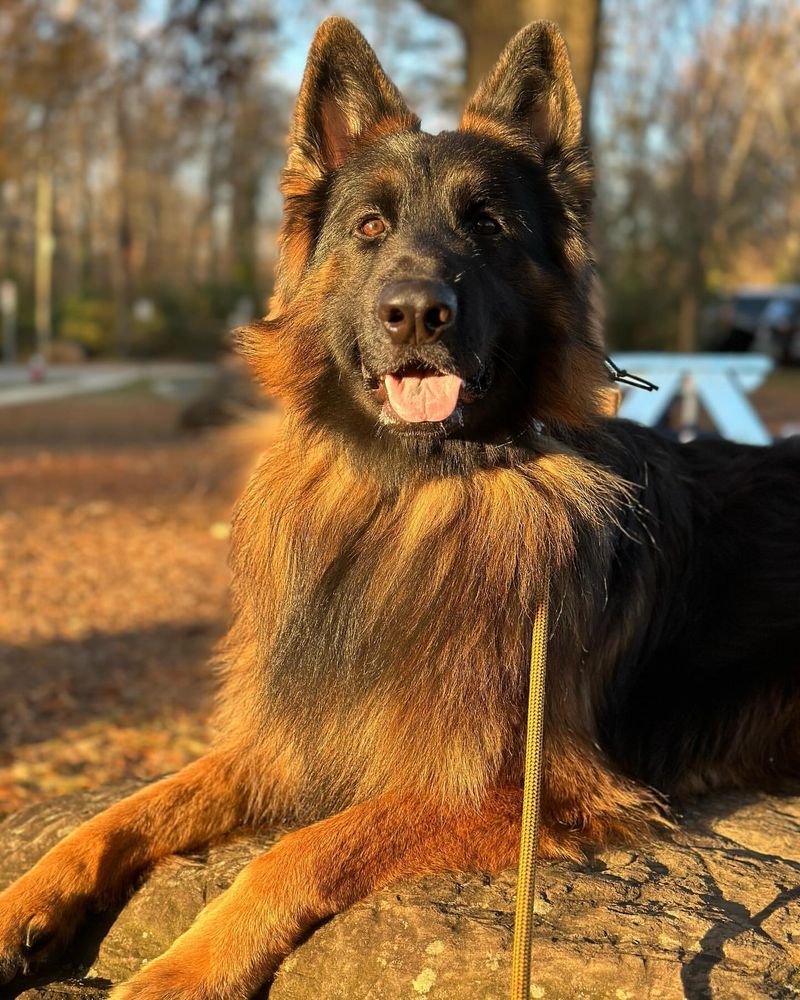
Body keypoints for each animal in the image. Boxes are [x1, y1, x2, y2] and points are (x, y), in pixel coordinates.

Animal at [1, 15, 800, 1000]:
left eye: (487, 227)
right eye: (371, 226)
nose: (417, 312)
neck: (409, 494)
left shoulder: (514, 786)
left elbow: (301, 851)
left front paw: (186, 968)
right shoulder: (290, 739)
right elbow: (133, 808)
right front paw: (28, 900)